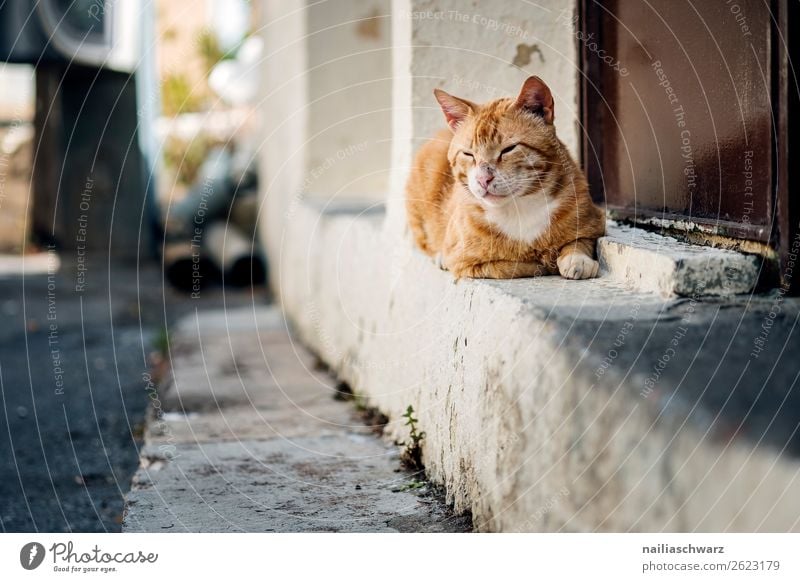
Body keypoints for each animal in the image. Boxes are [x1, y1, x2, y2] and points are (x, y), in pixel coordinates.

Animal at [410, 76, 604, 280]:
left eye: (508, 149)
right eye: (468, 154)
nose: (483, 180)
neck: (519, 208)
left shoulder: (595, 220)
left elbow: (580, 240)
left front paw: (577, 259)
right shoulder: (466, 264)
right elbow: (512, 266)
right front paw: (542, 260)